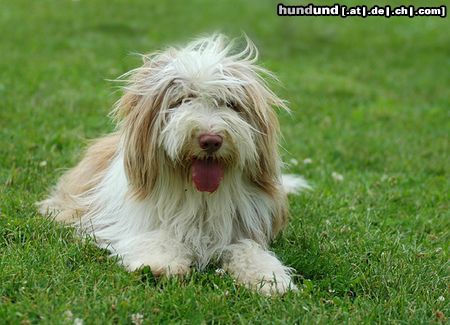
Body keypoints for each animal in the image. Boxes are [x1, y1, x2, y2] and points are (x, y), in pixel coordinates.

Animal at [39, 34, 310, 294]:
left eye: (230, 104)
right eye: (182, 100)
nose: (210, 140)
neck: (201, 197)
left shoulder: (244, 229)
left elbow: (248, 250)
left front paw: (268, 278)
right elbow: (159, 237)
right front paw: (160, 264)